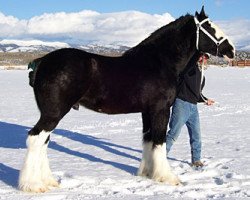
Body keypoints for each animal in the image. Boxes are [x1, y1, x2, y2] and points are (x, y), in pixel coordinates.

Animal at [19, 7, 234, 193]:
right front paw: (168, 178)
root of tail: (42, 62)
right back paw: (33, 185)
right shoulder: (161, 109)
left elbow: (148, 140)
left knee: (43, 142)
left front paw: (147, 174)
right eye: (209, 28)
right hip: (53, 113)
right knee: (35, 139)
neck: (159, 63)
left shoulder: (147, 111)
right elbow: (160, 142)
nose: (231, 50)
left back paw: (49, 181)